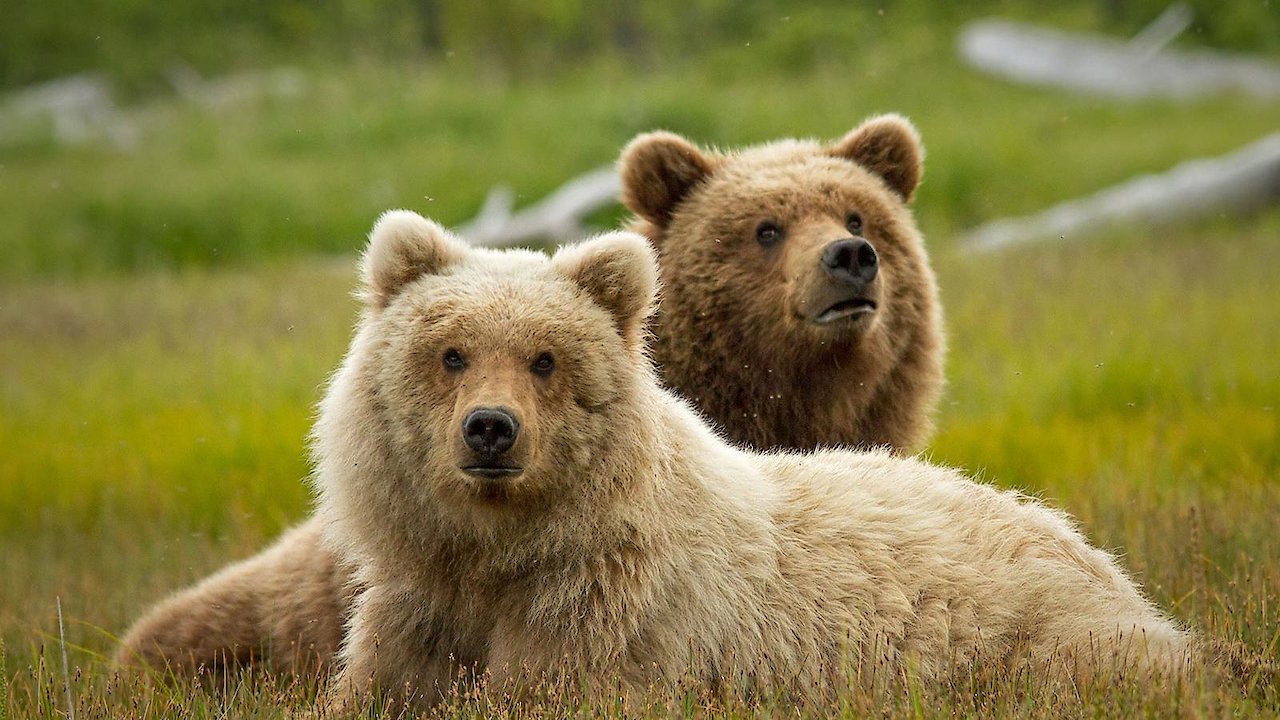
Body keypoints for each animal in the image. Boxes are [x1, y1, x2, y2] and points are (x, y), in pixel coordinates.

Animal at [313, 212, 1188, 712]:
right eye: (451, 353)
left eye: (545, 359)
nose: (491, 430)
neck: (499, 552)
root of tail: (1093, 551)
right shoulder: (420, 607)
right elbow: (374, 685)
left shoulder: (602, 618)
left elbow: (548, 688)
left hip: (1042, 634)